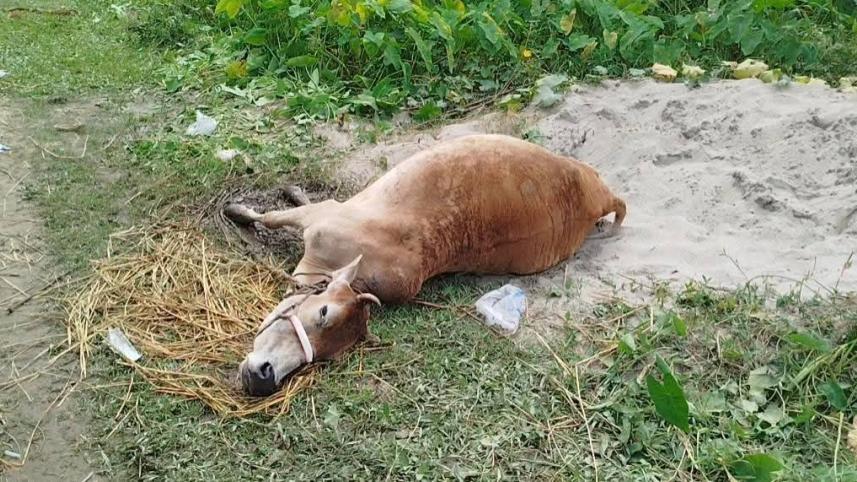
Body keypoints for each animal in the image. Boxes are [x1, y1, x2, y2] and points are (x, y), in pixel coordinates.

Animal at [228, 134, 626, 396]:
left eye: (326, 357)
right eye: (322, 312)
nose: (264, 378)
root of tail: (599, 196)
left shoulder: (323, 217)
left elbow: (270, 216)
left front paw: (238, 211)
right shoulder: (322, 216)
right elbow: (274, 215)